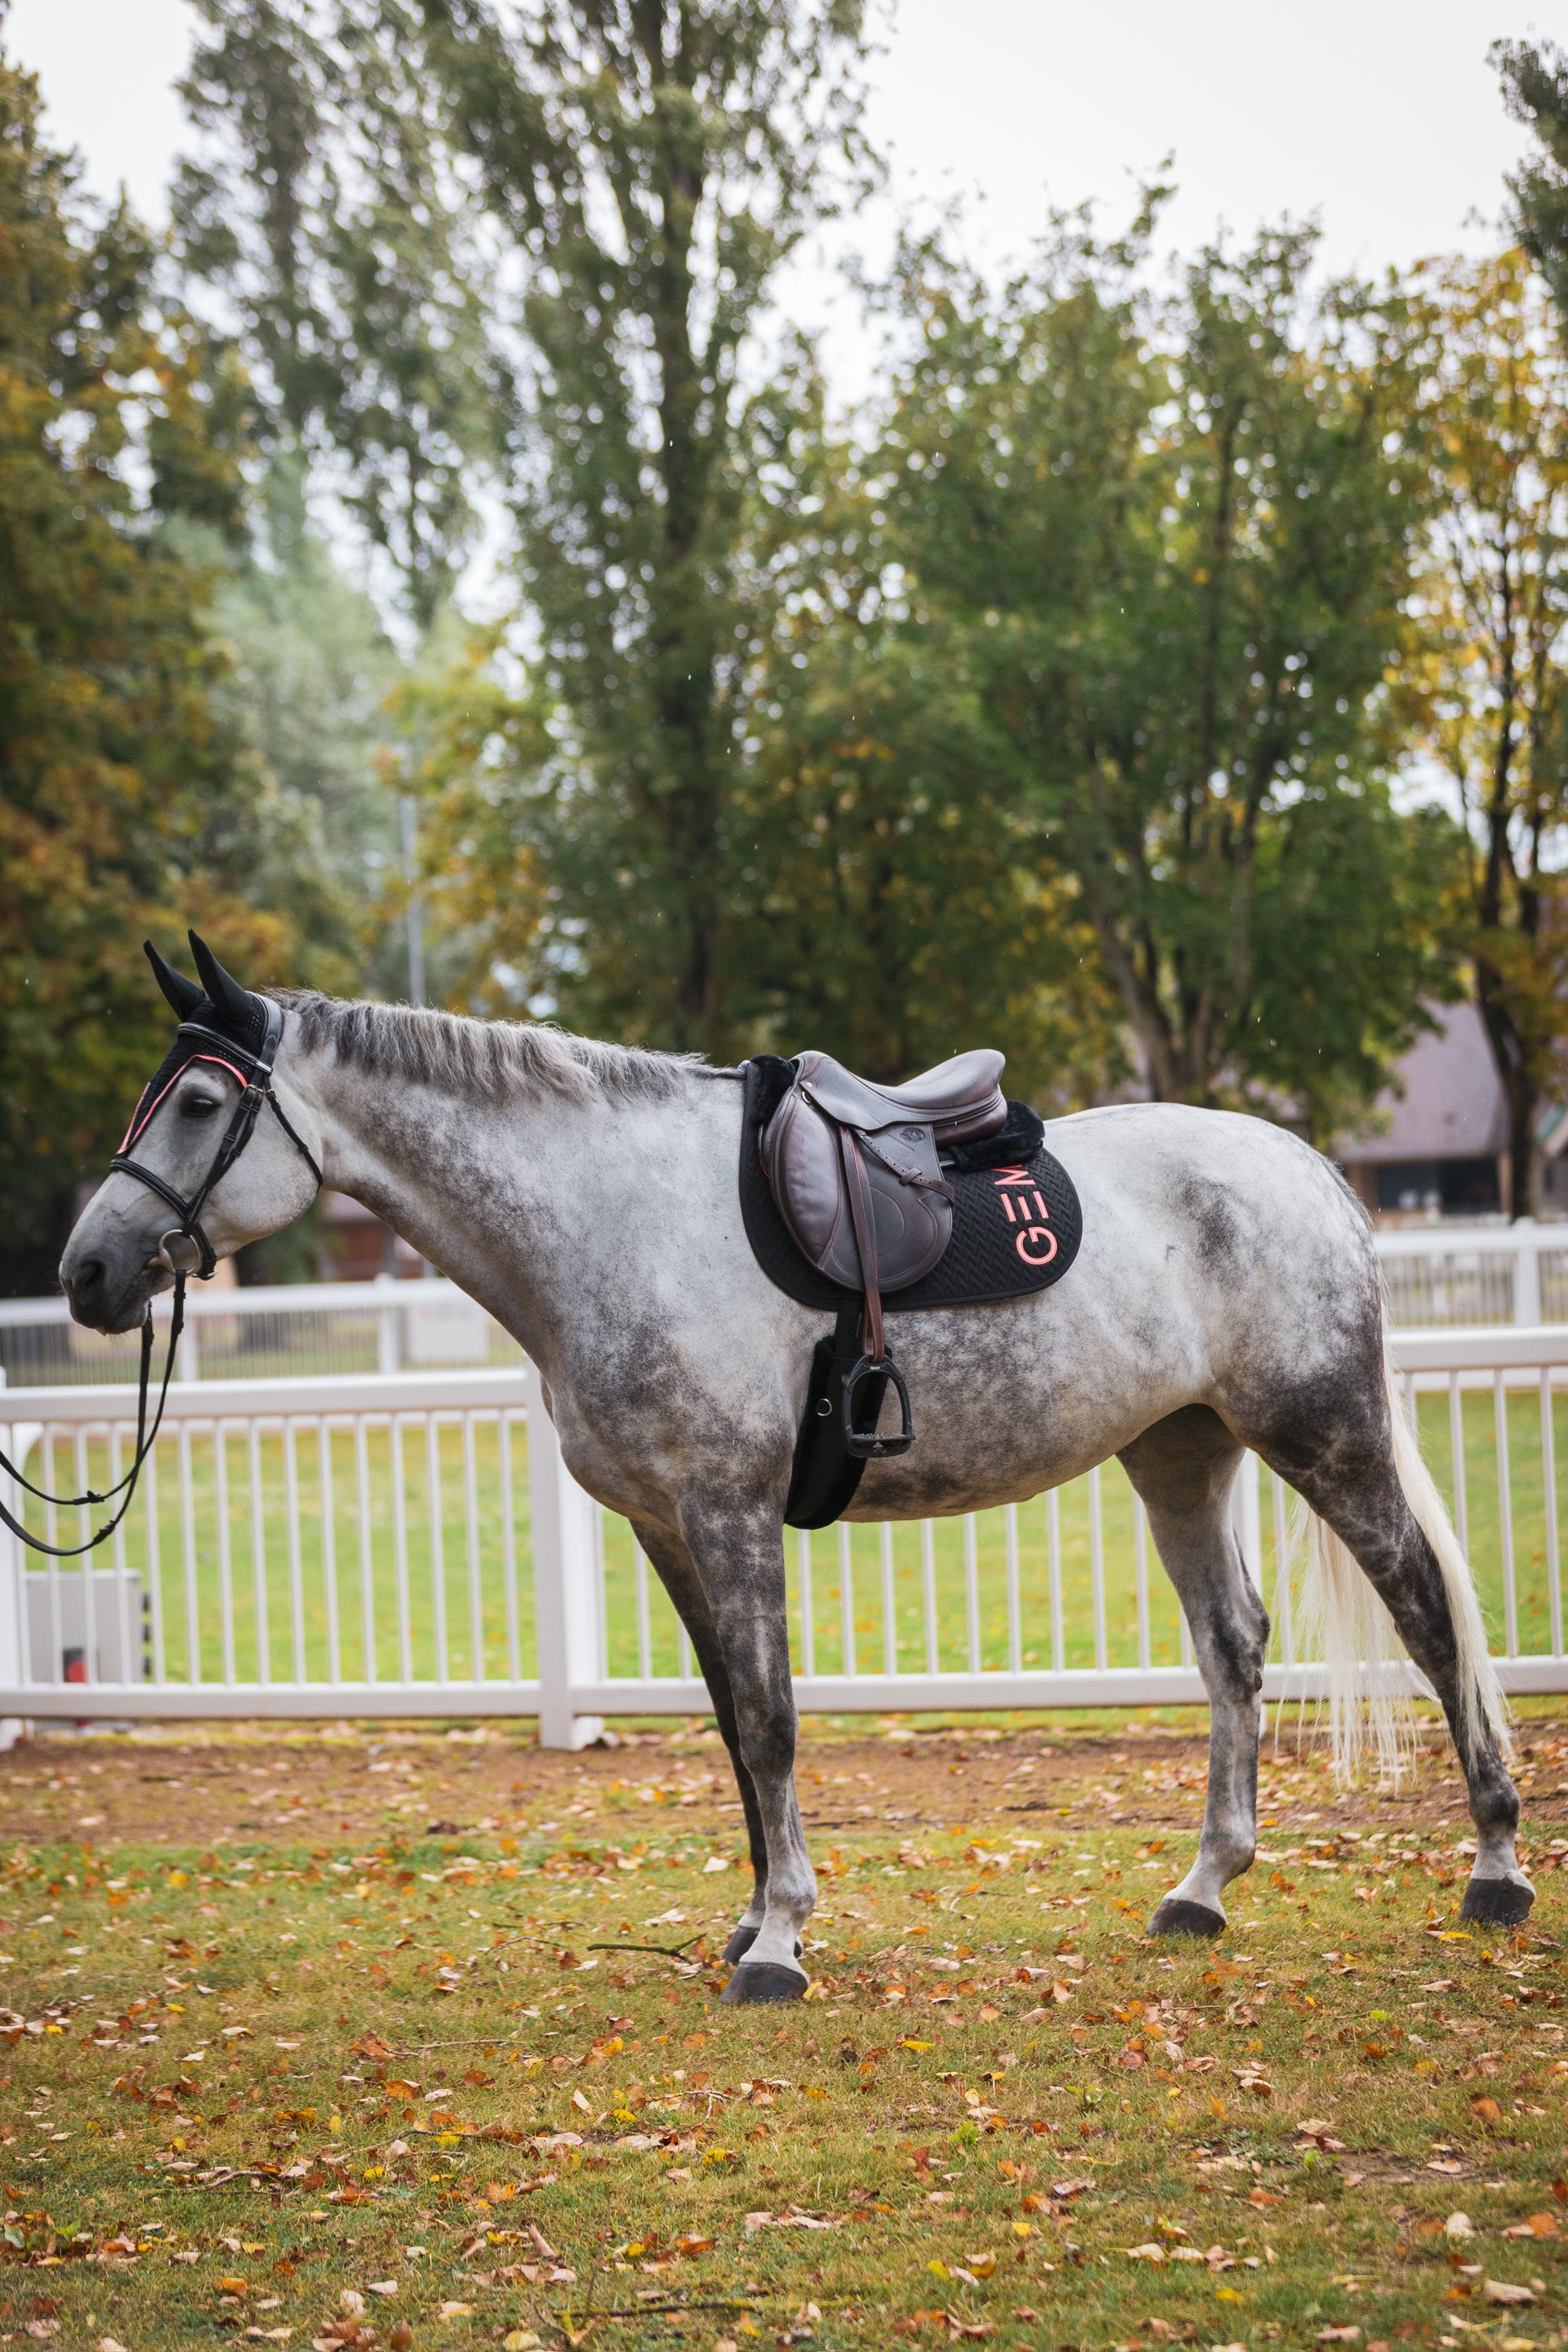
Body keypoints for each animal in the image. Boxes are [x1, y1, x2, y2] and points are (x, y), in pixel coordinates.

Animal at [61, 936, 1533, 2004]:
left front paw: (778, 1944)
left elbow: (770, 1722)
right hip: (1181, 1453)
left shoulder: (730, 1511)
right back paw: (1203, 1890)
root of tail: (1308, 1171)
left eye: (201, 1103)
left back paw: (1496, 1867)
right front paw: (755, 1913)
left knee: (1428, 1616)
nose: (86, 1271)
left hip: (1322, 1435)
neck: (613, 1217)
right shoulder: (664, 1527)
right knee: (1232, 1648)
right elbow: (729, 1726)